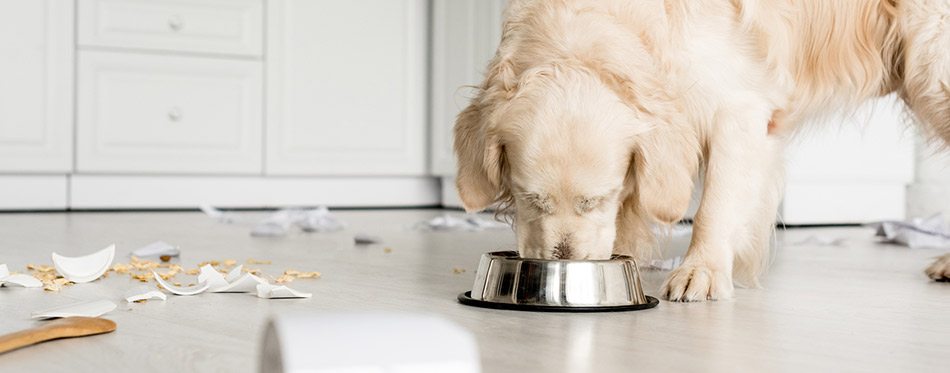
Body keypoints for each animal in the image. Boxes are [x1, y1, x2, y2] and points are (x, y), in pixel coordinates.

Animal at [452, 0, 950, 300]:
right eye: (529, 198)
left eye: (598, 199)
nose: (562, 266)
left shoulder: (739, 107)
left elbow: (716, 204)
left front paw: (702, 272)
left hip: (932, 66)